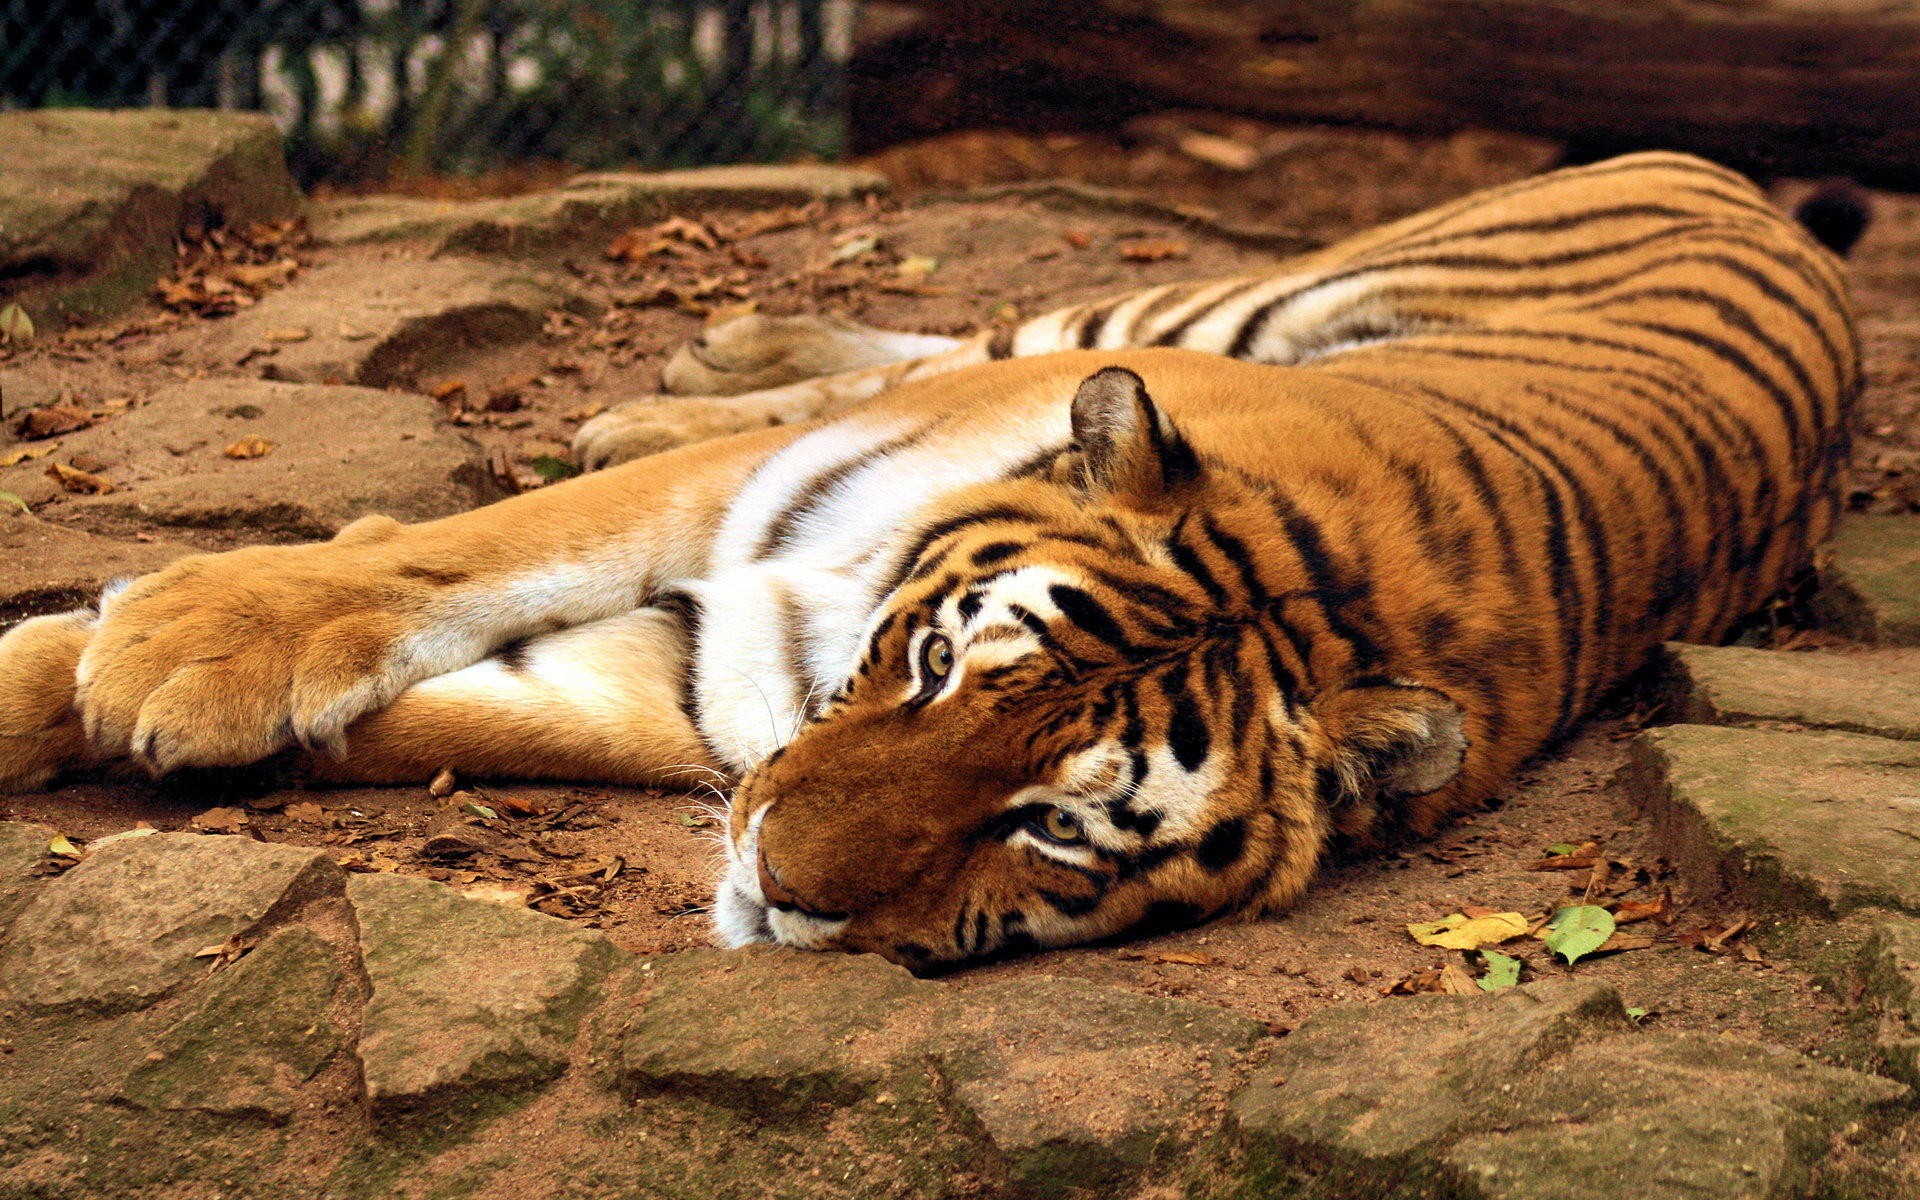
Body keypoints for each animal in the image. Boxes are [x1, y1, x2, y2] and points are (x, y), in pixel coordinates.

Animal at [0, 154, 1858, 967]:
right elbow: (474, 548)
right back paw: (675, 373)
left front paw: (124, 690)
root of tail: (1743, 182)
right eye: (942, 661)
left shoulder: (710, 679)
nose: (777, 888)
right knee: (957, 330)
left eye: (1052, 828)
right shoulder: (748, 519)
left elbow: (482, 704)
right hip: (1168, 306)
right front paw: (171, 641)